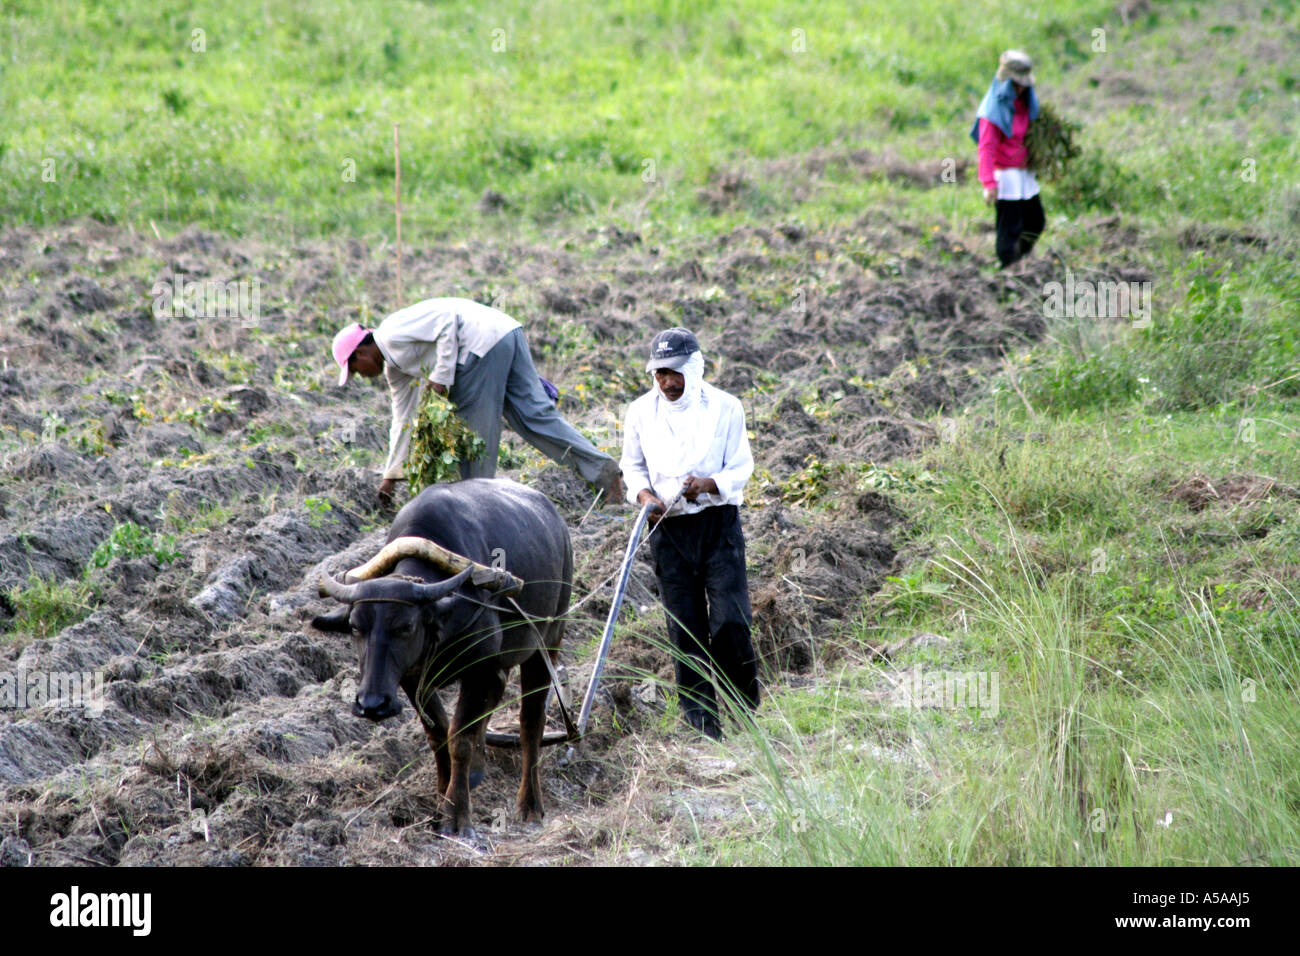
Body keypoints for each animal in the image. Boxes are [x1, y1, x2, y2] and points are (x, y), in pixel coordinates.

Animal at [312, 478, 572, 834]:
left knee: (531, 720)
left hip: (549, 639)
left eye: (405, 627)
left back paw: (529, 805)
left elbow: (459, 736)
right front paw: (440, 798)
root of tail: (558, 523)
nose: (372, 705)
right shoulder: (412, 677)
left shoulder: (478, 669)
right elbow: (438, 733)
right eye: (354, 627)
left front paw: (455, 814)